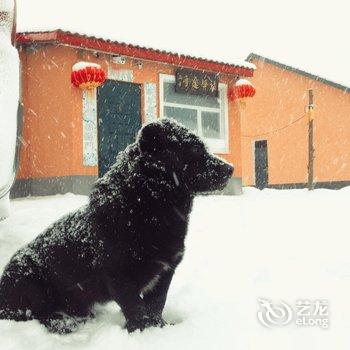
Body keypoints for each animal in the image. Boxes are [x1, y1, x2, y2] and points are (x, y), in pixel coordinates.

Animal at [0, 118, 235, 334]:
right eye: (195, 149)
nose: (231, 168)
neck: (146, 206)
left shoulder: (165, 272)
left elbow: (156, 304)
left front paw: (159, 328)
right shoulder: (119, 275)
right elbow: (136, 307)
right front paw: (142, 331)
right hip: (28, 279)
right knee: (33, 314)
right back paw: (62, 323)